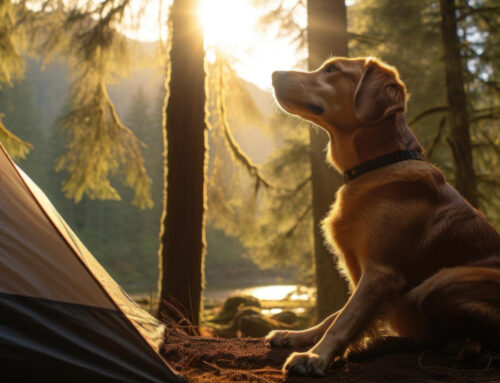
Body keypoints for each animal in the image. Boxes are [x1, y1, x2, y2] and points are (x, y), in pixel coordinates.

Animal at [268, 57, 500, 378]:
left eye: (332, 69)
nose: (273, 73)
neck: (378, 165)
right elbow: (335, 315)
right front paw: (298, 336)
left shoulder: (381, 272)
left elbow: (344, 319)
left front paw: (315, 356)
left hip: (438, 283)